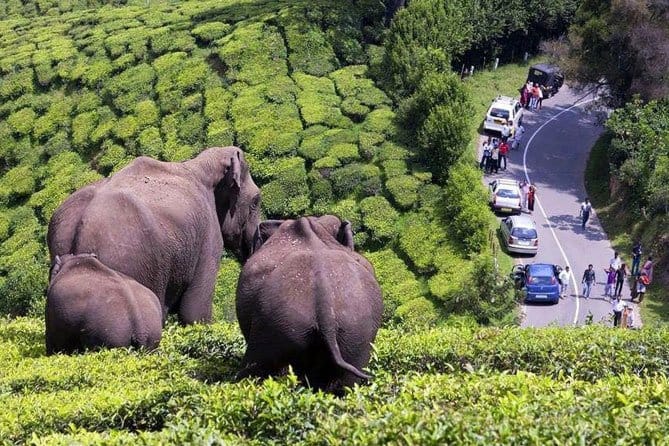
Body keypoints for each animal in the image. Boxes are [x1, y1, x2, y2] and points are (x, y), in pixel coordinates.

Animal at [47, 146, 261, 325]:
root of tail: (81, 223)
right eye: (256, 201)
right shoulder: (208, 233)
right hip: (129, 259)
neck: (200, 164)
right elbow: (194, 311)